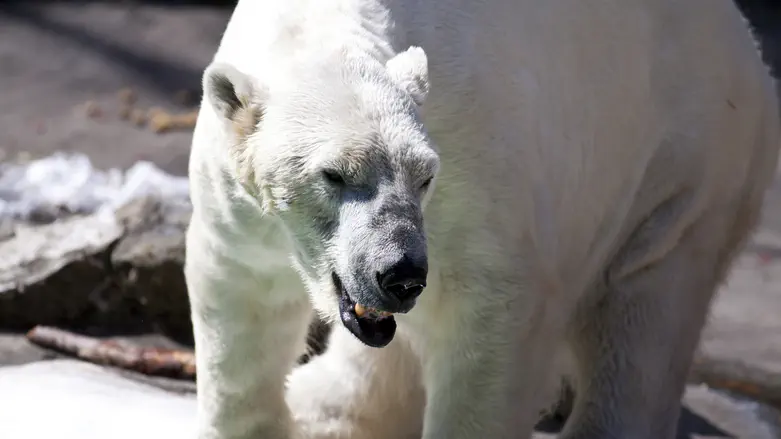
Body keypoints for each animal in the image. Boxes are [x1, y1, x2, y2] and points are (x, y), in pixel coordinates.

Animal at [184, 0, 780, 438]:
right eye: (333, 174)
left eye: (425, 176)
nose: (399, 273)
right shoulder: (238, 201)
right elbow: (243, 299)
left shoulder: (475, 172)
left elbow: (493, 312)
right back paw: (322, 408)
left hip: (679, 171)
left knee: (645, 317)